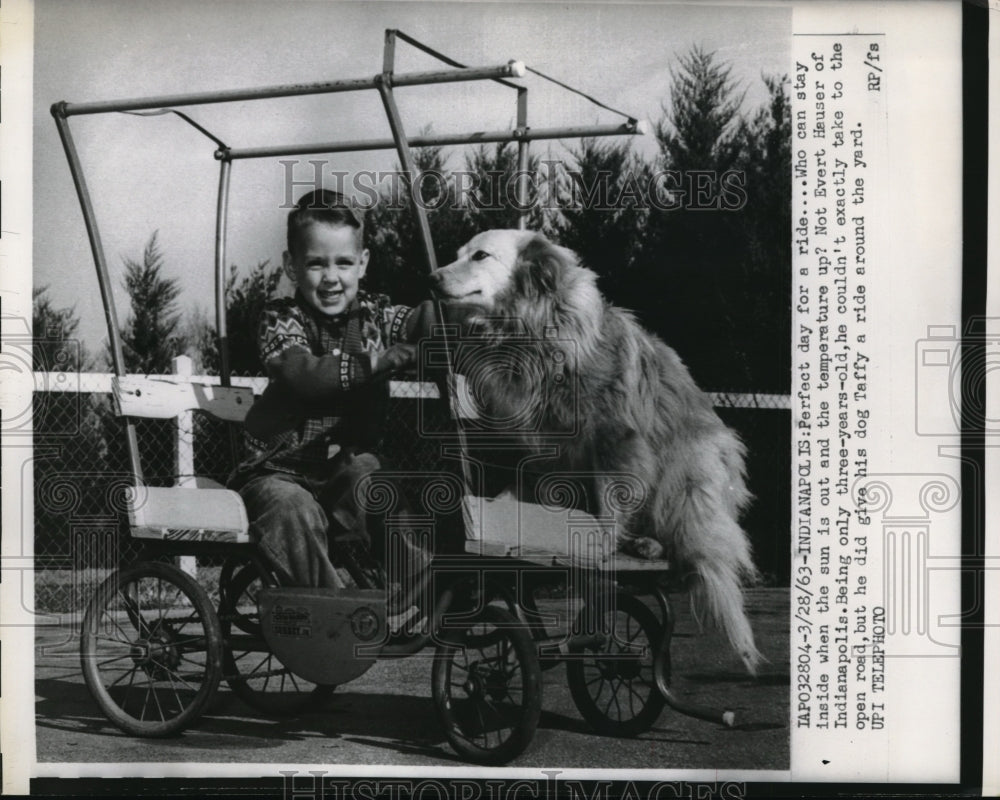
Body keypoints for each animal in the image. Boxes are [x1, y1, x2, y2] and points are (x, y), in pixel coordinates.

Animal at [434, 228, 760, 672]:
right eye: (457, 255)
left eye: (481, 256)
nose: (431, 278)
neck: (532, 326)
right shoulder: (542, 445)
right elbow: (530, 489)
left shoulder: (614, 439)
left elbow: (611, 504)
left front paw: (602, 546)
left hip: (686, 475)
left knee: (679, 548)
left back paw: (646, 547)